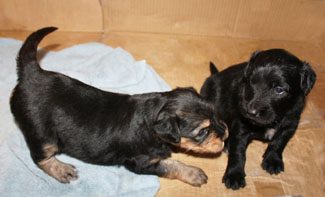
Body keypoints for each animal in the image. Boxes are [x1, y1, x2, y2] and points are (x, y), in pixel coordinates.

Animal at [10, 26, 228, 187]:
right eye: (202, 132)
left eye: (216, 116)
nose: (226, 134)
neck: (153, 118)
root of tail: (32, 73)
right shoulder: (139, 162)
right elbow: (171, 165)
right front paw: (194, 173)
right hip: (43, 134)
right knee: (39, 157)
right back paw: (62, 170)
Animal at [199, 48, 316, 189]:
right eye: (251, 81)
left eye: (279, 89)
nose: (250, 112)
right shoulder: (241, 126)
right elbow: (238, 153)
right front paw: (234, 175)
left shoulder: (291, 123)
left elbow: (278, 142)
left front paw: (273, 160)